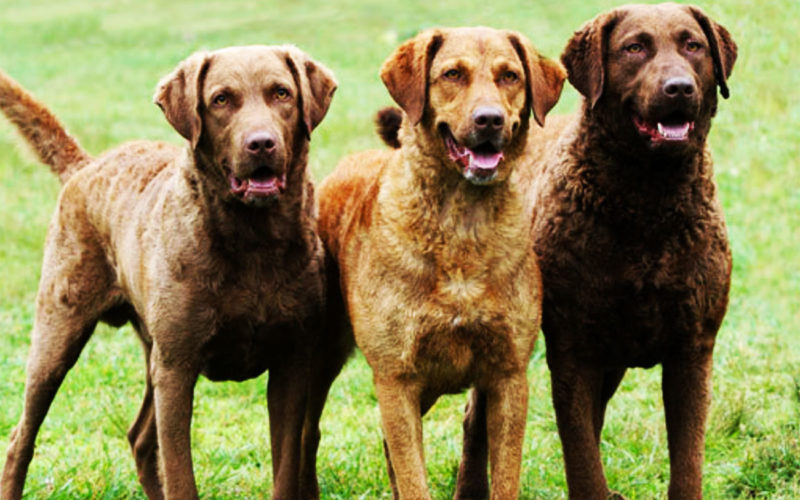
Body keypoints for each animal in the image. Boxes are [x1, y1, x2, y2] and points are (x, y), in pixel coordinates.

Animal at [0, 45, 338, 498]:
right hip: (59, 334)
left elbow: (285, 468)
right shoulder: (178, 367)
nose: (261, 143)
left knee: (139, 438)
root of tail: (87, 166)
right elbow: (180, 474)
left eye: (282, 93)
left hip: (151, 350)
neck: (253, 243)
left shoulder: (292, 361)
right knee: (22, 436)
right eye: (221, 99)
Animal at [316, 28, 564, 500]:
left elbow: (504, 476)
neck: (461, 224)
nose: (490, 120)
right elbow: (414, 477)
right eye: (452, 74)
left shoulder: (508, 374)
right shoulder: (396, 378)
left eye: (510, 76)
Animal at [456, 3, 736, 500]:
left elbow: (687, 463)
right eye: (634, 47)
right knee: (477, 420)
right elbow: (582, 460)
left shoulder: (693, 348)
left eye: (693, 46)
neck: (649, 206)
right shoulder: (574, 351)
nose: (679, 87)